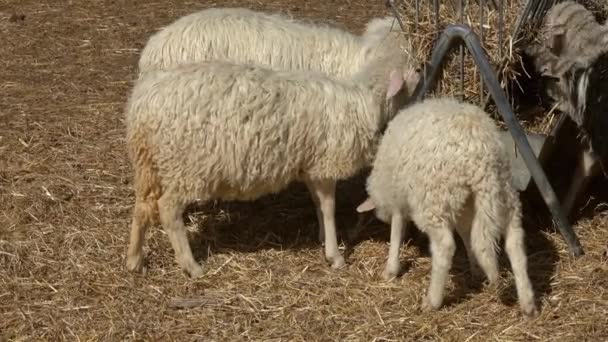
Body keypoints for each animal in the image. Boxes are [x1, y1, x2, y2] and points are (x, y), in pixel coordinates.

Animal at [123, 54, 418, 278]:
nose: (420, 70)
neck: (364, 102)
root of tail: (143, 102)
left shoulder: (309, 165)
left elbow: (317, 203)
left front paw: (323, 238)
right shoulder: (324, 163)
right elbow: (328, 207)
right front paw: (334, 255)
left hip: (148, 163)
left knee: (142, 207)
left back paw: (134, 259)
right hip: (186, 166)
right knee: (167, 209)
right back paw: (191, 266)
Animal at [356, 97, 536, 318]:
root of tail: (481, 155)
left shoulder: (400, 199)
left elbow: (396, 232)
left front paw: (390, 269)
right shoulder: (462, 209)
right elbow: (467, 236)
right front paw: (476, 270)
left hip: (434, 200)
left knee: (445, 247)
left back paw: (432, 300)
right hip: (503, 193)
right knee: (514, 243)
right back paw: (527, 303)